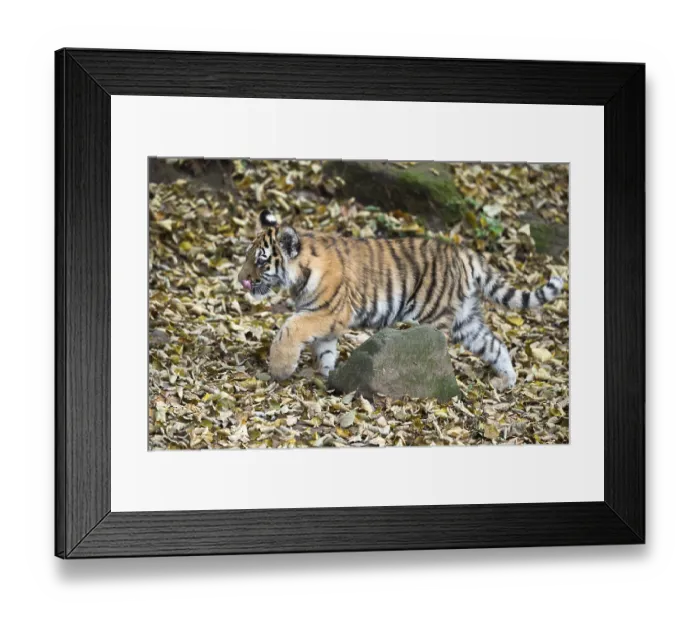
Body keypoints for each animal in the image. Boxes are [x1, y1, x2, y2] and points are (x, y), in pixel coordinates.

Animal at [236, 210, 564, 389]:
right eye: (247, 256)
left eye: (261, 261)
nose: (241, 279)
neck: (299, 276)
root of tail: (464, 253)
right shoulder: (326, 322)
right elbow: (325, 351)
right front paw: (330, 376)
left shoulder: (327, 313)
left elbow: (289, 330)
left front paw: (279, 369)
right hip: (466, 321)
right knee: (495, 344)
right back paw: (506, 381)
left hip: (432, 316)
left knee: (436, 349)